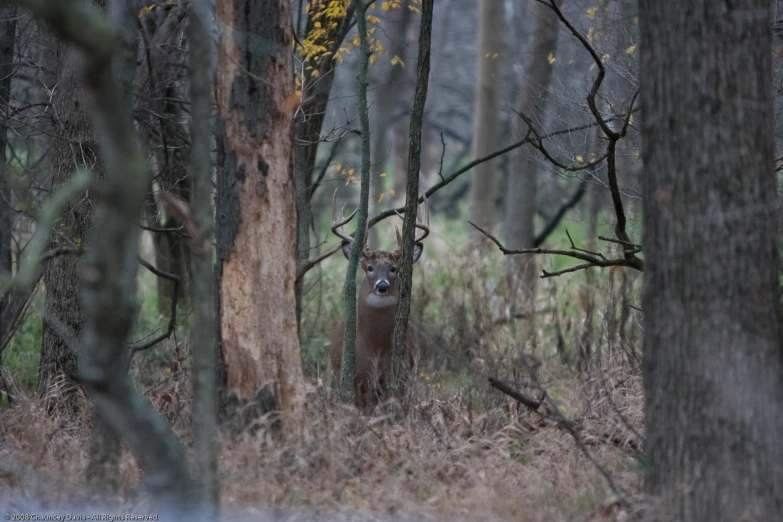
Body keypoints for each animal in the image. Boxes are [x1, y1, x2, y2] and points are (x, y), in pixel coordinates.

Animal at [328, 193, 432, 408]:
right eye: (369, 267)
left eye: (394, 268)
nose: (382, 286)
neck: (374, 347)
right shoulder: (358, 377)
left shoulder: (397, 373)